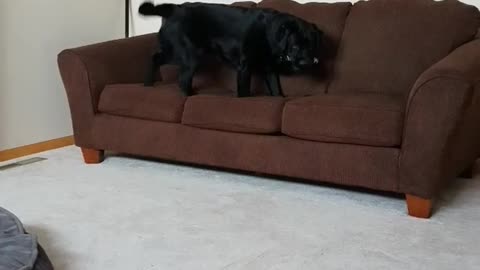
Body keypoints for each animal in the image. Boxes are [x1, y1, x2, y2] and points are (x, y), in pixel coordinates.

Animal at [139, 1, 326, 97]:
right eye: (294, 47)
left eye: (312, 46)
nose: (306, 62)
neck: (269, 32)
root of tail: (174, 9)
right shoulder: (245, 67)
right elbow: (244, 91)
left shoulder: (269, 69)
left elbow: (276, 89)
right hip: (189, 56)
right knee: (182, 79)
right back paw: (189, 95)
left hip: (174, 52)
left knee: (155, 57)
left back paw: (148, 84)